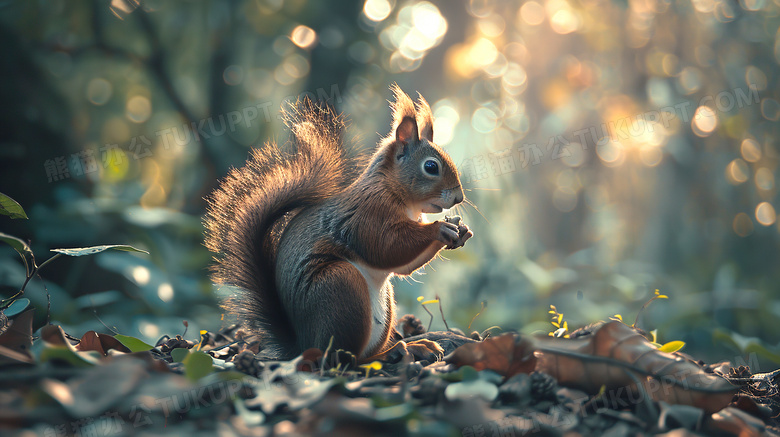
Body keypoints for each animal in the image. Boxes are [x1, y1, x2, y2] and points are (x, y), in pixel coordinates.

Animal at [204, 84, 472, 362]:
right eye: (431, 166)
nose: (459, 197)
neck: (395, 193)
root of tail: (303, 345)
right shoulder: (367, 214)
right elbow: (386, 246)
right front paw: (440, 229)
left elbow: (402, 266)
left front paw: (462, 232)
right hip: (341, 286)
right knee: (344, 359)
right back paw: (397, 351)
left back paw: (415, 346)